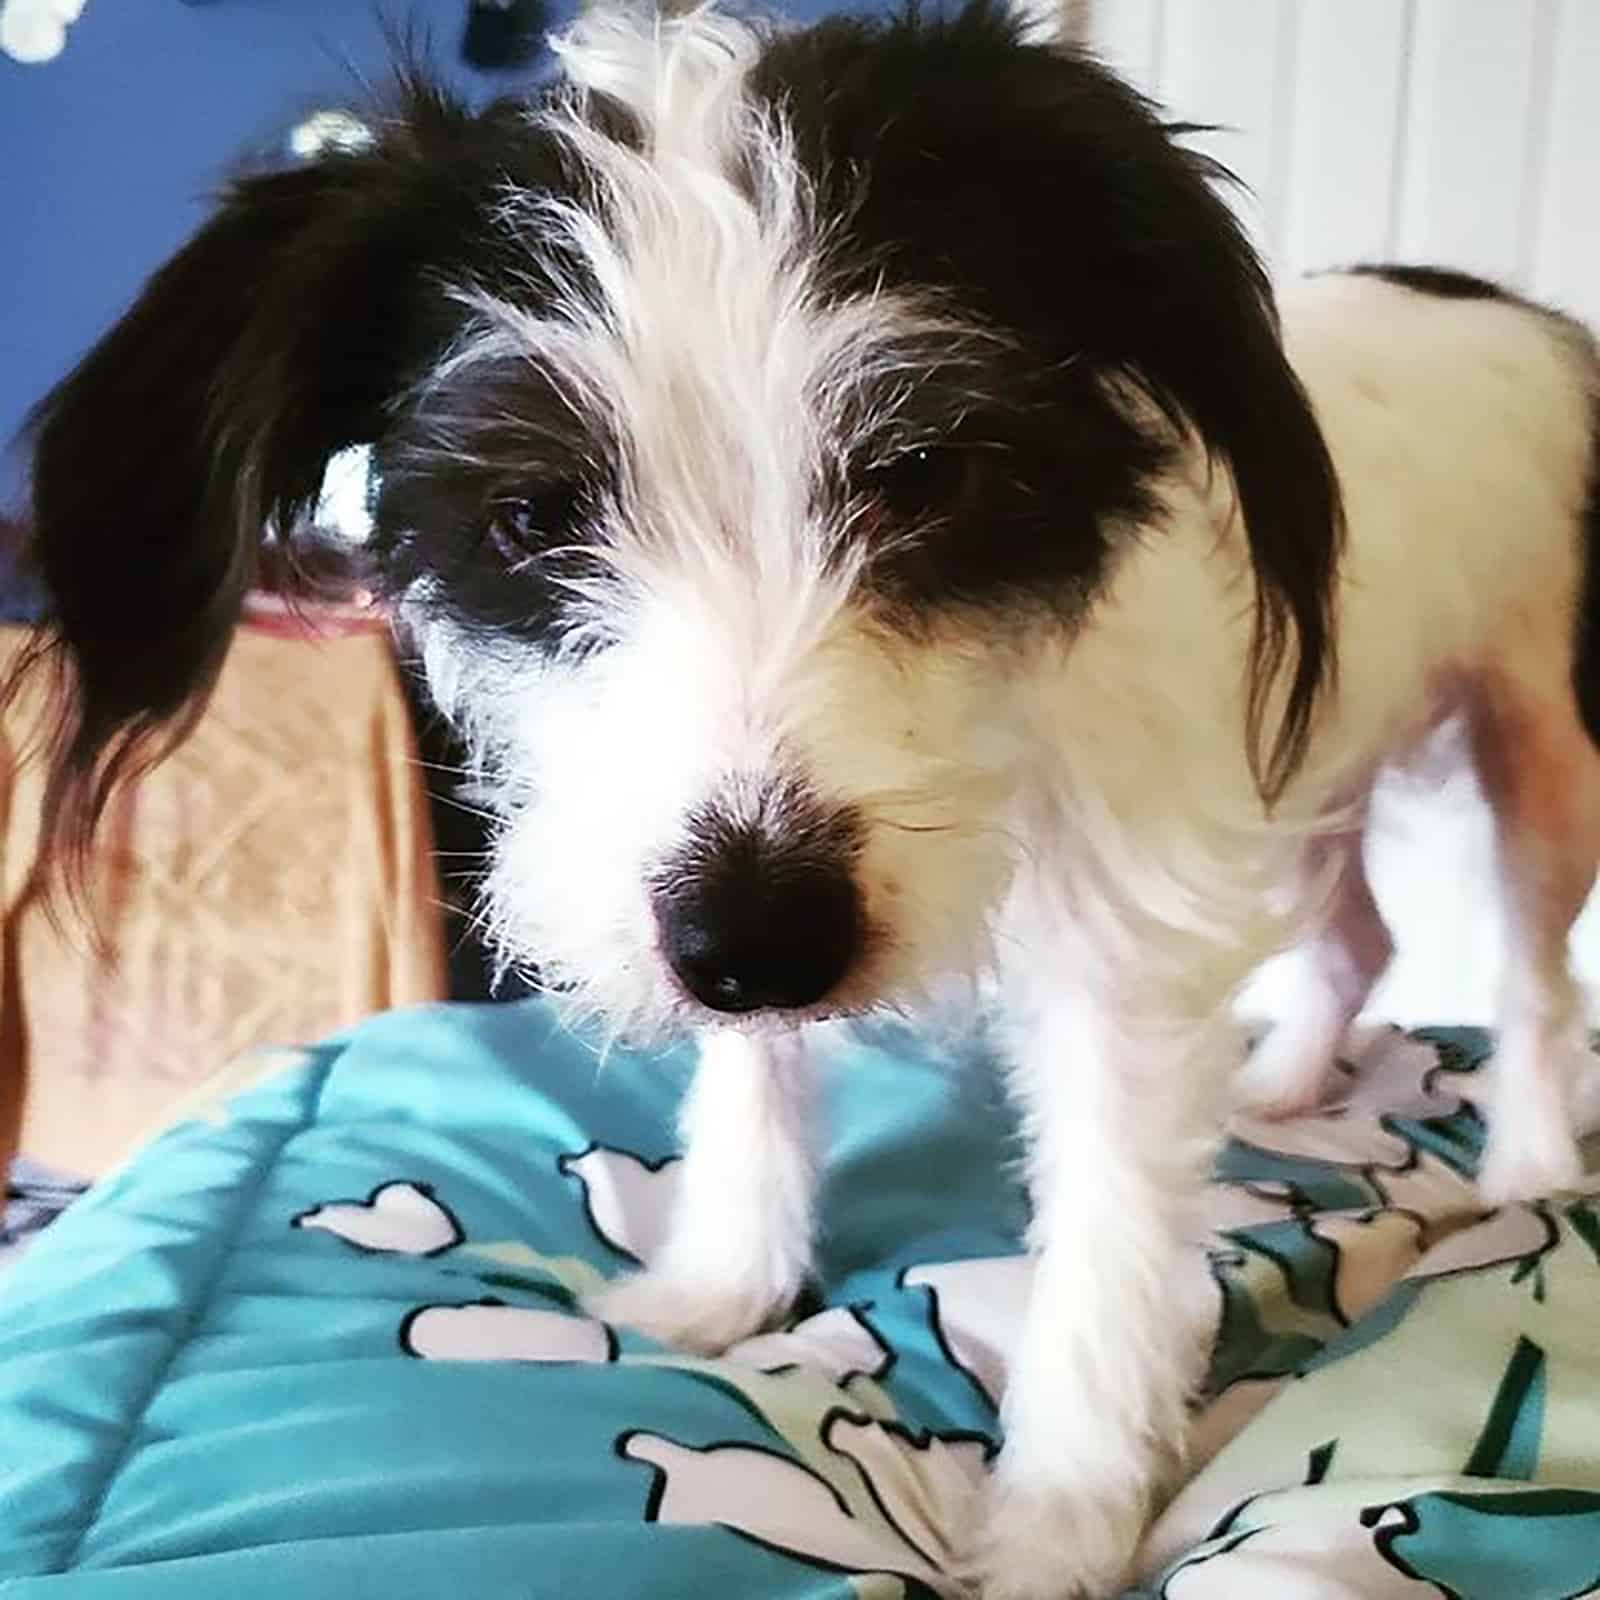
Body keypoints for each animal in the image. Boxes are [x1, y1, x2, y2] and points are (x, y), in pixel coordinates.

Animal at [15, 6, 1600, 1593]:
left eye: (923, 475)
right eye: (530, 517)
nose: (761, 947)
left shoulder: (1120, 949)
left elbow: (1107, 1240)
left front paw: (1059, 1519)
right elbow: (749, 1076)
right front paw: (721, 1281)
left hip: (1540, 750)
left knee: (1532, 973)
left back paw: (1527, 1163)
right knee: (1363, 937)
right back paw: (1289, 1077)